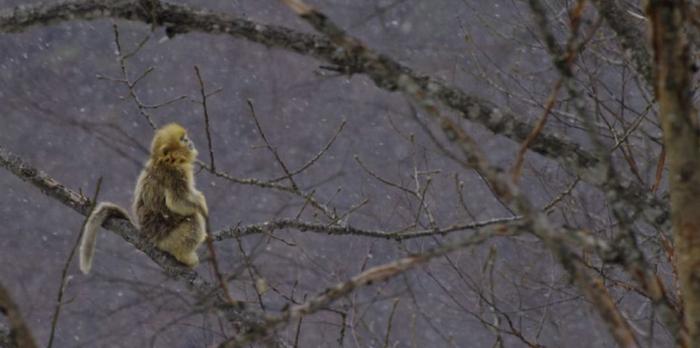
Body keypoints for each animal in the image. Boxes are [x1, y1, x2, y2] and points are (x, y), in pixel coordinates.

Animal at [80, 123, 208, 274]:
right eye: (183, 139)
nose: (189, 141)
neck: (165, 160)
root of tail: (145, 234)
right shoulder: (175, 173)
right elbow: (176, 202)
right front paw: (202, 207)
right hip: (167, 240)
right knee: (193, 220)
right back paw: (184, 256)